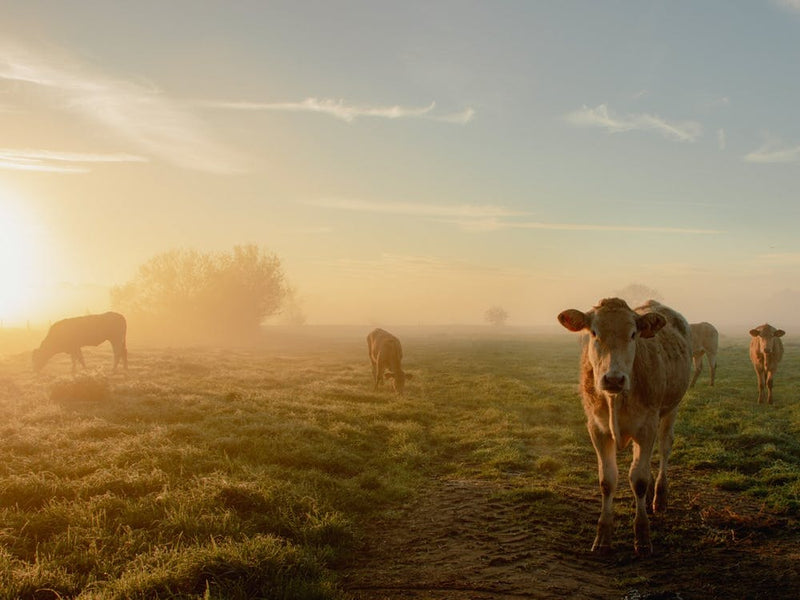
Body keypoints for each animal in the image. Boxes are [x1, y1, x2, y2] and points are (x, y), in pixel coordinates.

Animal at [557, 298, 692, 556]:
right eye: (594, 332)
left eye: (633, 334)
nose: (613, 379)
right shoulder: (597, 429)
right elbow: (607, 480)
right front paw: (603, 536)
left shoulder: (647, 426)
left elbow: (638, 479)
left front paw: (642, 536)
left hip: (672, 408)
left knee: (665, 447)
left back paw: (659, 496)